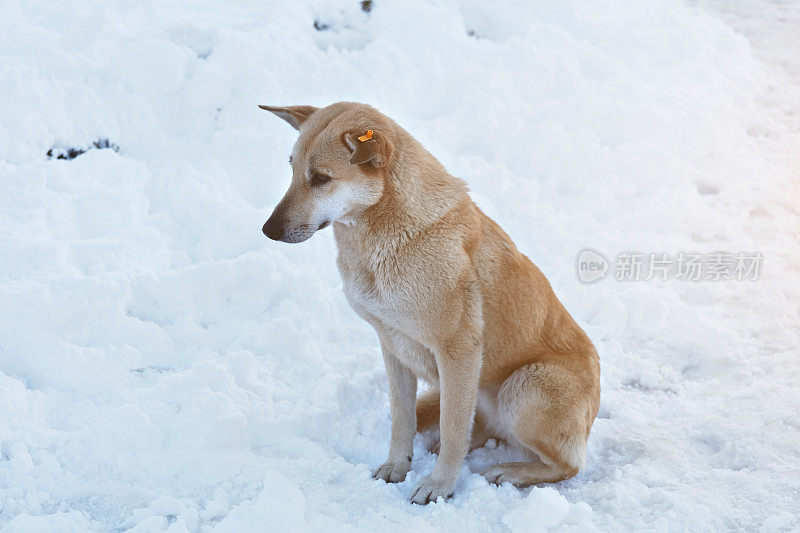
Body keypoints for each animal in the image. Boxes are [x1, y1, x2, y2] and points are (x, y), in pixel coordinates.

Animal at [260, 103, 600, 502]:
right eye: (293, 169)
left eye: (320, 178)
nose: (267, 230)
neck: (386, 235)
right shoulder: (392, 346)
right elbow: (402, 418)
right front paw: (398, 466)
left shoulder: (458, 351)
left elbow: (453, 428)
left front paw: (439, 486)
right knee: (479, 426)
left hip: (523, 387)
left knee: (569, 464)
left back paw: (510, 471)